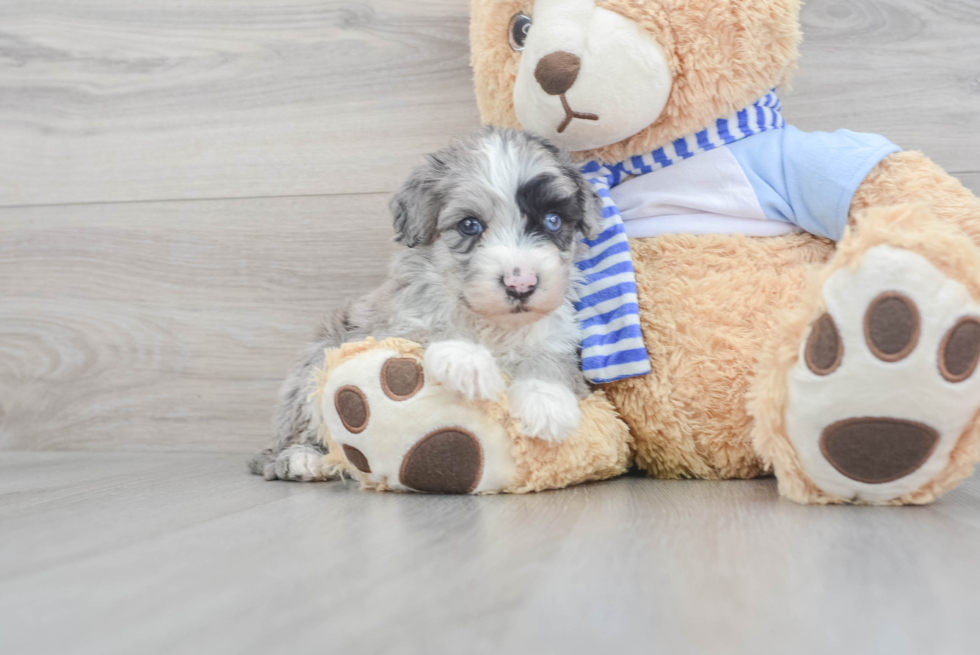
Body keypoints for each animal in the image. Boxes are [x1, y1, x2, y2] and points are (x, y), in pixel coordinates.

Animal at [251, 127, 604, 482]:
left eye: (553, 220)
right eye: (469, 225)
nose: (522, 284)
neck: (492, 324)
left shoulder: (559, 336)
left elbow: (550, 361)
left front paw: (546, 402)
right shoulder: (390, 326)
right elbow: (430, 330)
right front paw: (469, 363)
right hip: (312, 370)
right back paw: (302, 459)